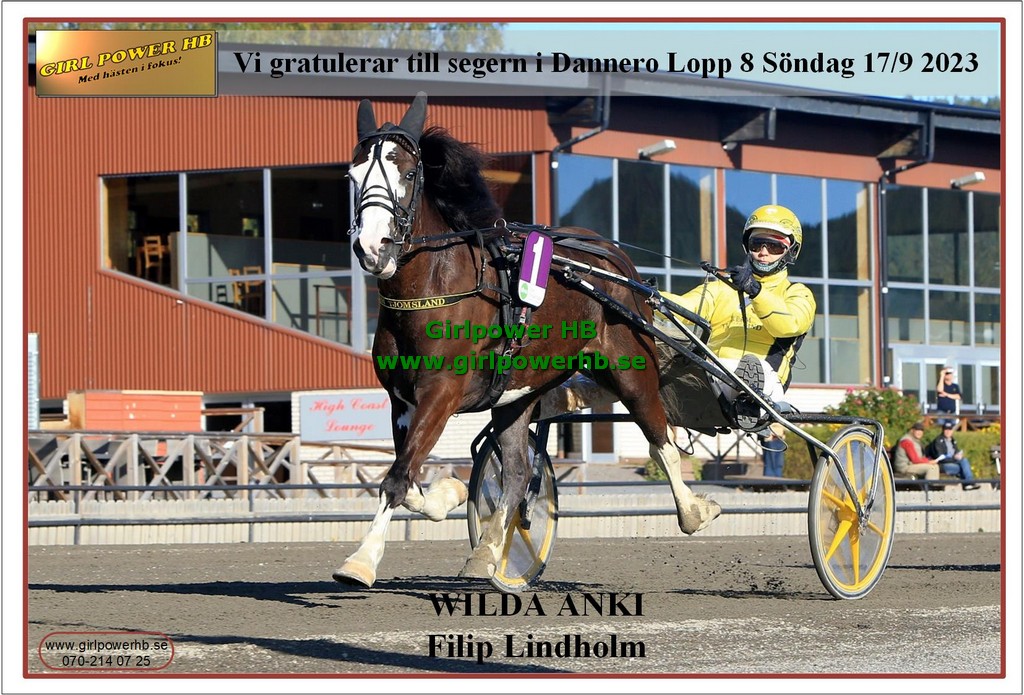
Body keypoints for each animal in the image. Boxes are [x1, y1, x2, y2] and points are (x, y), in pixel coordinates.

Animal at [333, 92, 721, 588]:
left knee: (661, 438)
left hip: (630, 367)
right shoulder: (401, 399)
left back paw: (693, 512)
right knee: (518, 472)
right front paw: (448, 493)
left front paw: (360, 560)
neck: (435, 288)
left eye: (407, 173)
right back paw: (488, 551)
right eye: (352, 175)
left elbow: (398, 477)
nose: (373, 247)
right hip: (516, 394)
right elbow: (411, 477)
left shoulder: (440, 391)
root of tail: (615, 258)